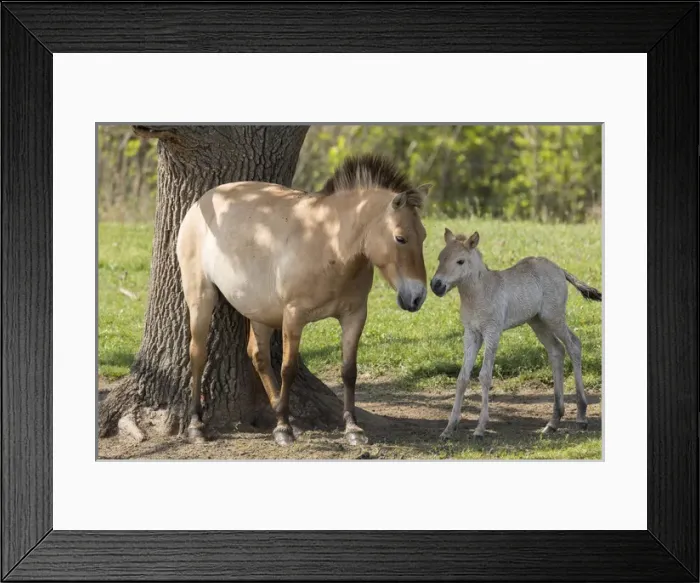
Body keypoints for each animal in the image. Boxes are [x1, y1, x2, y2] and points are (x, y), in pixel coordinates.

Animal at [176, 155, 431, 446]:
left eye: (423, 236)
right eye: (400, 238)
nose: (418, 296)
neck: (329, 241)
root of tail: (201, 203)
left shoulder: (354, 315)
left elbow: (349, 370)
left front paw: (352, 428)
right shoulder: (294, 316)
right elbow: (288, 369)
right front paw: (283, 428)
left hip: (259, 311)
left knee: (258, 356)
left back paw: (284, 415)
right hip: (201, 297)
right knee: (198, 354)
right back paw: (197, 425)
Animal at [430, 228, 601, 438]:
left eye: (460, 261)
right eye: (440, 258)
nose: (436, 285)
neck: (480, 293)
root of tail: (560, 269)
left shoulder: (492, 332)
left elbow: (484, 376)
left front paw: (480, 428)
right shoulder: (471, 334)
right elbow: (462, 378)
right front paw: (449, 428)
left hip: (554, 317)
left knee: (574, 345)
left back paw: (581, 417)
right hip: (538, 322)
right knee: (556, 350)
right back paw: (553, 422)